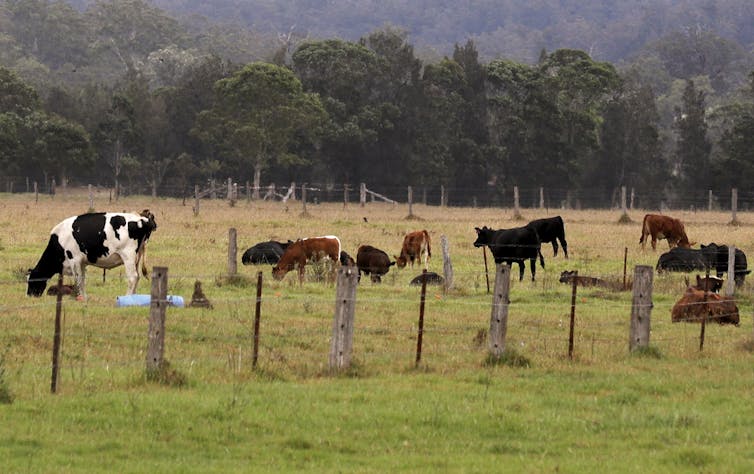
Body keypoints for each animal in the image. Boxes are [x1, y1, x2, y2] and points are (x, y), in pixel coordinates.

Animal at [27, 212, 157, 298]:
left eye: (31, 280)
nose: (29, 295)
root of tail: (143, 219)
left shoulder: (74, 259)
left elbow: (78, 279)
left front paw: (79, 297)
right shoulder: (82, 262)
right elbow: (82, 280)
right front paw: (84, 298)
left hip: (128, 255)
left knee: (133, 277)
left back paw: (128, 297)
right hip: (137, 257)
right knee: (138, 277)